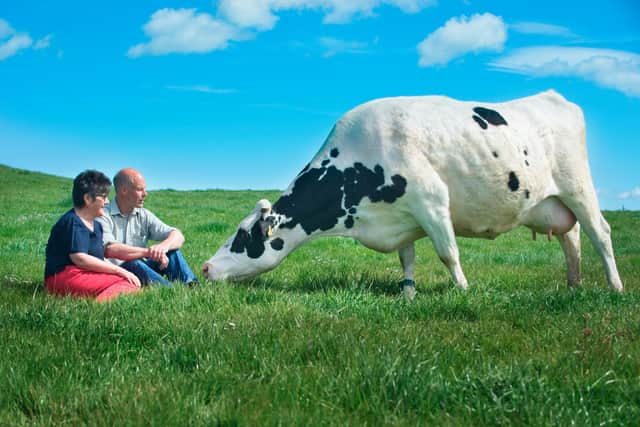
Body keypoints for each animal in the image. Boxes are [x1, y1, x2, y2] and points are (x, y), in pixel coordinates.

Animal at [202, 90, 624, 298]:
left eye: (243, 236)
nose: (205, 267)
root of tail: (552, 96)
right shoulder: (401, 217)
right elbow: (407, 258)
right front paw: (408, 293)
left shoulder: (431, 200)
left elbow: (448, 252)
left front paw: (463, 290)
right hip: (548, 203)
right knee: (571, 237)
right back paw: (573, 285)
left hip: (578, 186)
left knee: (599, 233)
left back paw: (615, 287)